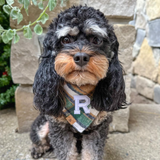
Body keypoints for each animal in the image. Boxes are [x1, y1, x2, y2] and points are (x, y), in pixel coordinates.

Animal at [30, 5, 126, 160]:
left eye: (96, 39)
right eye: (66, 39)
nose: (81, 57)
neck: (79, 89)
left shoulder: (98, 128)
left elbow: (92, 152)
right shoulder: (58, 127)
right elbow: (66, 152)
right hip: (43, 123)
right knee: (38, 136)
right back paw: (38, 148)